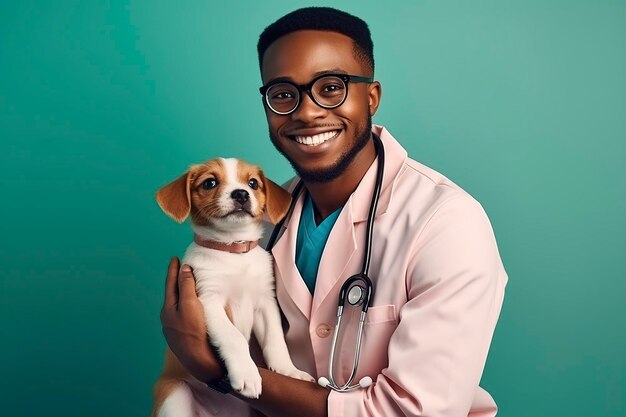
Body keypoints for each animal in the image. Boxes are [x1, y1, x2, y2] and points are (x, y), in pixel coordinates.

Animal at [151, 157, 312, 416]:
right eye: (210, 183)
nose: (241, 193)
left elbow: (275, 341)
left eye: (253, 183)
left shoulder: (266, 304)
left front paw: (289, 371)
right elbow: (233, 337)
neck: (233, 250)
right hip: (176, 396)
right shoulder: (208, 301)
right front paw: (247, 373)